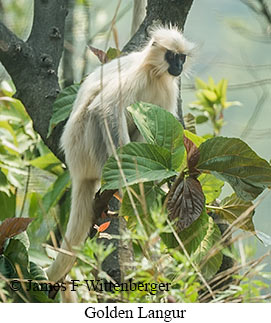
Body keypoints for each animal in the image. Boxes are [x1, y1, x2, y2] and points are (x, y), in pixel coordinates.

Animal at [46, 26, 196, 284]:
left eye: (182, 57)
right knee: (98, 114)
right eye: (171, 56)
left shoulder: (169, 88)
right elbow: (105, 109)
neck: (154, 74)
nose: (178, 66)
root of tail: (76, 170)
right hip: (84, 145)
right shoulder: (138, 76)